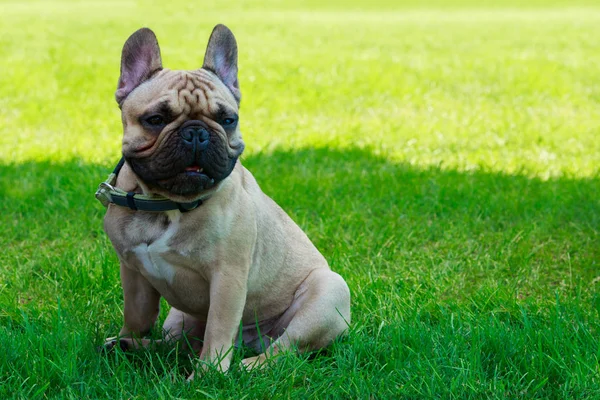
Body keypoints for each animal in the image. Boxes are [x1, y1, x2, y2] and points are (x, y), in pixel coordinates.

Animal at [100, 25, 350, 378]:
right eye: (156, 119)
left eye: (228, 120)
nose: (196, 133)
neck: (168, 204)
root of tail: (252, 340)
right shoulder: (133, 271)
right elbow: (137, 315)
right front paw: (130, 339)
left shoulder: (227, 278)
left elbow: (218, 328)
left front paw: (206, 375)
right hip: (178, 316)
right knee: (177, 342)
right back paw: (134, 346)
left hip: (327, 295)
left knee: (284, 350)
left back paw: (247, 366)